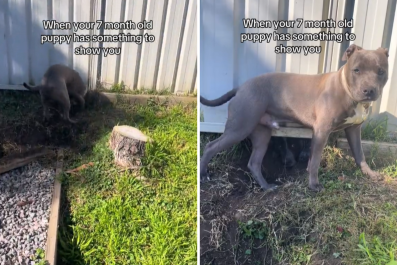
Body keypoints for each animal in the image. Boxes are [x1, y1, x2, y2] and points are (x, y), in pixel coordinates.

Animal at [200, 44, 388, 191]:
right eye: (356, 70)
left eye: (381, 71)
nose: (369, 90)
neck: (345, 89)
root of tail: (240, 87)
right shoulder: (322, 131)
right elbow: (315, 161)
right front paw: (313, 185)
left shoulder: (354, 130)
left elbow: (360, 154)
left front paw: (370, 174)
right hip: (240, 127)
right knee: (210, 147)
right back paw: (203, 175)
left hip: (262, 134)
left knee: (254, 163)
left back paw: (267, 187)